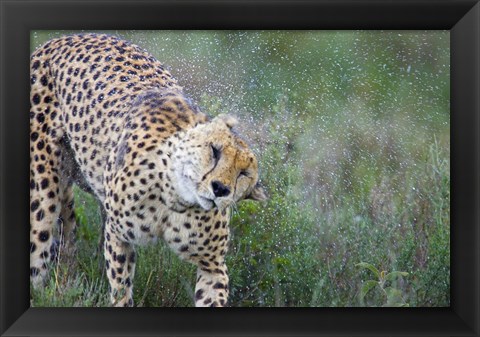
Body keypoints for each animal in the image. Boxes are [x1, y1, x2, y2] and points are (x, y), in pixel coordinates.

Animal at [29, 33, 266, 304]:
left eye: (243, 174)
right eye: (214, 151)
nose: (220, 189)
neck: (176, 199)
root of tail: (63, 38)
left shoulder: (213, 265)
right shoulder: (118, 236)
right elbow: (121, 289)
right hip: (43, 194)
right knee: (40, 252)